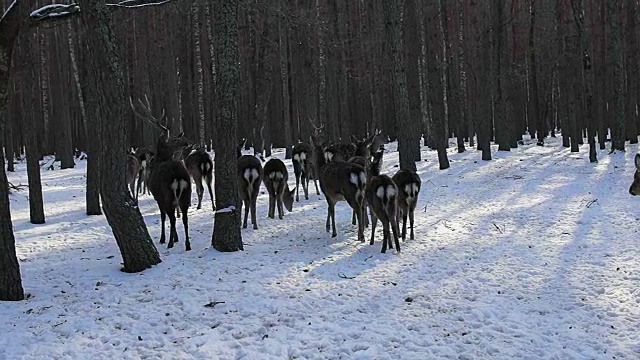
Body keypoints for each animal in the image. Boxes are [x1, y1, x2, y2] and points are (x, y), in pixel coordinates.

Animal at [128, 97, 191, 252]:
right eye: (174, 138)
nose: (187, 143)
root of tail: (179, 177)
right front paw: (176, 237)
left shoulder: (158, 196)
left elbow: (163, 217)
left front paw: (166, 238)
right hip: (186, 194)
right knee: (185, 217)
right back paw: (187, 244)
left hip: (168, 194)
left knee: (172, 217)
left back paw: (169, 243)